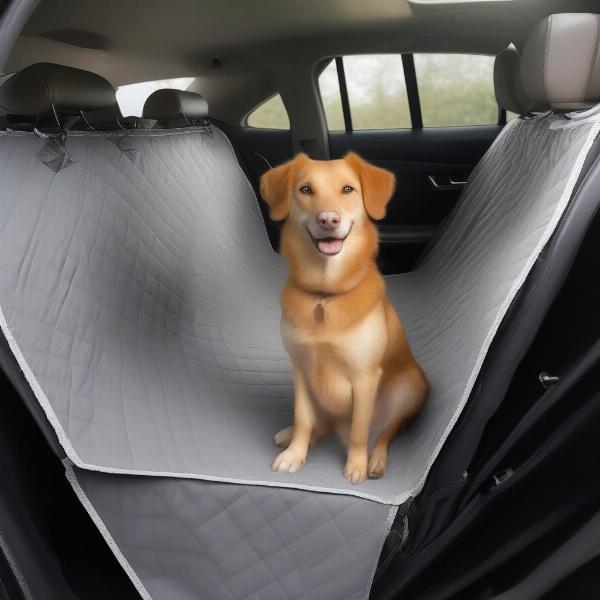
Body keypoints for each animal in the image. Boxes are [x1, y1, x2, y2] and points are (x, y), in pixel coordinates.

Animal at [260, 151, 428, 482]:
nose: (328, 220)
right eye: (306, 190)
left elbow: (360, 431)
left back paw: (376, 460)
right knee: (318, 424)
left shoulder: (365, 377)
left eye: (348, 190)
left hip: (410, 387)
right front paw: (296, 453)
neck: (325, 295)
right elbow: (303, 418)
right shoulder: (301, 370)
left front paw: (357, 464)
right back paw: (291, 435)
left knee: (386, 432)